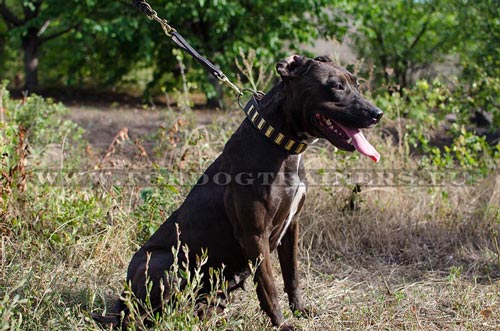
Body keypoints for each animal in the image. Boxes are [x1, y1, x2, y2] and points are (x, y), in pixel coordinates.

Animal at [94, 55, 382, 330]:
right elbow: (268, 286)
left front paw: (300, 311)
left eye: (356, 84)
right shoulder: (255, 234)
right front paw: (282, 324)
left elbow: (292, 276)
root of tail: (123, 297)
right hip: (163, 264)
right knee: (138, 317)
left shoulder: (292, 227)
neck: (281, 143)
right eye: (336, 86)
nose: (377, 113)